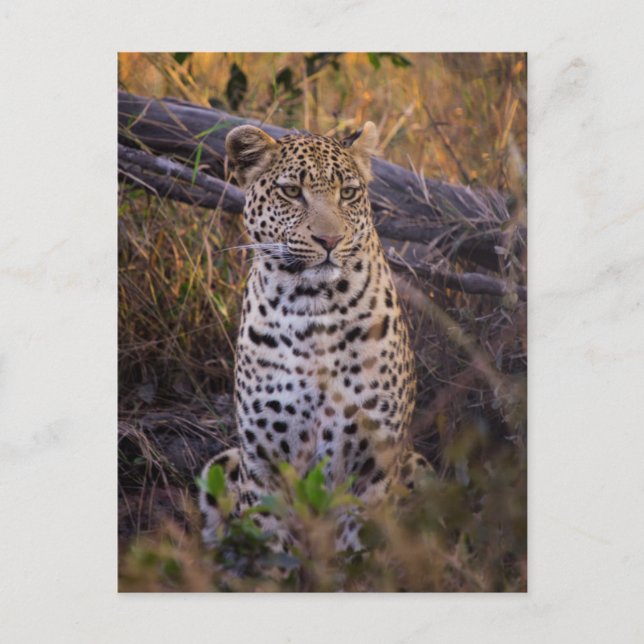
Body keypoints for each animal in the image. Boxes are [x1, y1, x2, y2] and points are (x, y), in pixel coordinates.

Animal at [199, 121, 429, 555]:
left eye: (348, 193)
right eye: (292, 192)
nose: (330, 241)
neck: (314, 310)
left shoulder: (374, 468)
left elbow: (361, 553)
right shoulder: (265, 467)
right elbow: (273, 553)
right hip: (222, 462)